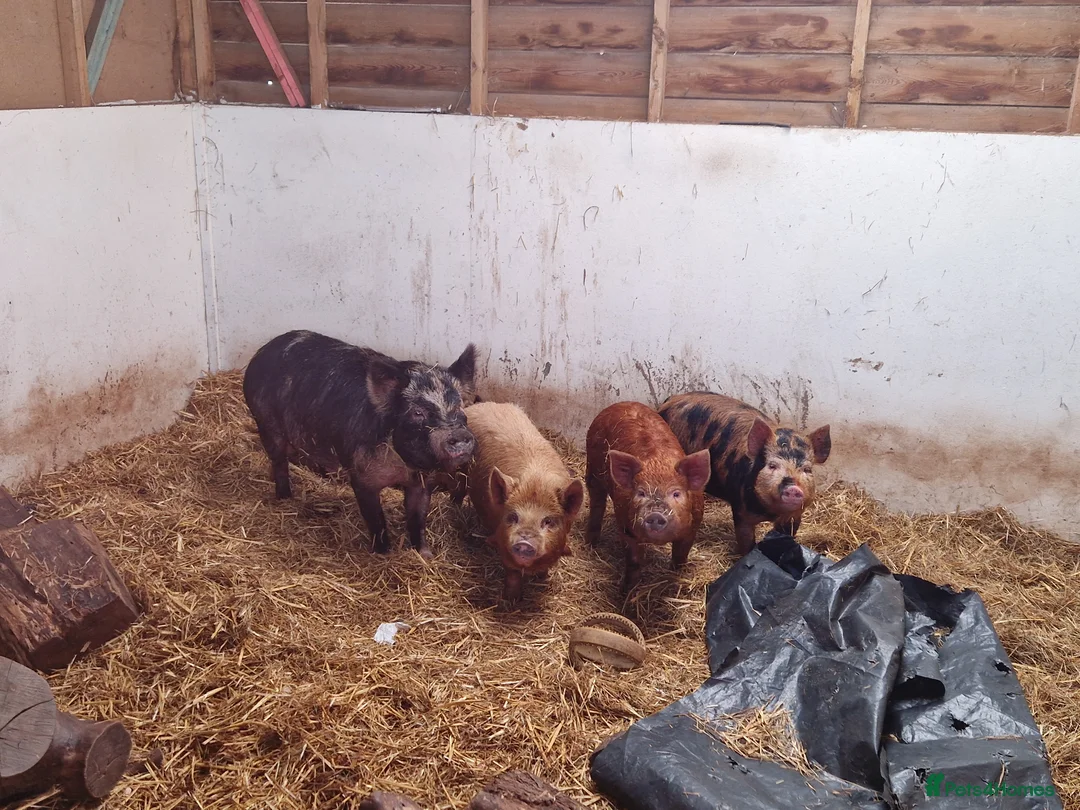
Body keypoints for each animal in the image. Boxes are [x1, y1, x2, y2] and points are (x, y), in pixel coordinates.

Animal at [242, 330, 477, 559]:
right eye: (417, 412)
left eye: (459, 406)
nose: (458, 434)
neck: (404, 466)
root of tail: (262, 352)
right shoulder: (362, 477)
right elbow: (376, 519)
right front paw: (382, 554)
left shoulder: (421, 482)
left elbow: (417, 519)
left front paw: (425, 555)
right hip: (266, 424)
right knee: (278, 461)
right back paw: (284, 497)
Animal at [463, 401, 584, 603]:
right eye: (513, 517)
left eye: (548, 521)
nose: (524, 543)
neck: (536, 481)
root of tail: (481, 404)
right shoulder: (503, 543)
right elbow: (512, 573)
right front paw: (512, 600)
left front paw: (543, 579)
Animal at [584, 402, 712, 589]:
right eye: (641, 492)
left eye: (676, 493)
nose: (656, 514)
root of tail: (620, 403)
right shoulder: (626, 527)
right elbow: (633, 561)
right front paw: (627, 591)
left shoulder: (693, 527)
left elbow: (680, 556)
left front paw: (677, 575)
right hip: (593, 468)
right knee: (596, 503)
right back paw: (590, 544)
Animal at [659, 392, 831, 556]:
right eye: (772, 465)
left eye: (807, 469)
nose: (793, 488)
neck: (770, 512)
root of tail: (672, 399)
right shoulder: (741, 510)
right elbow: (746, 541)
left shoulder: (794, 516)